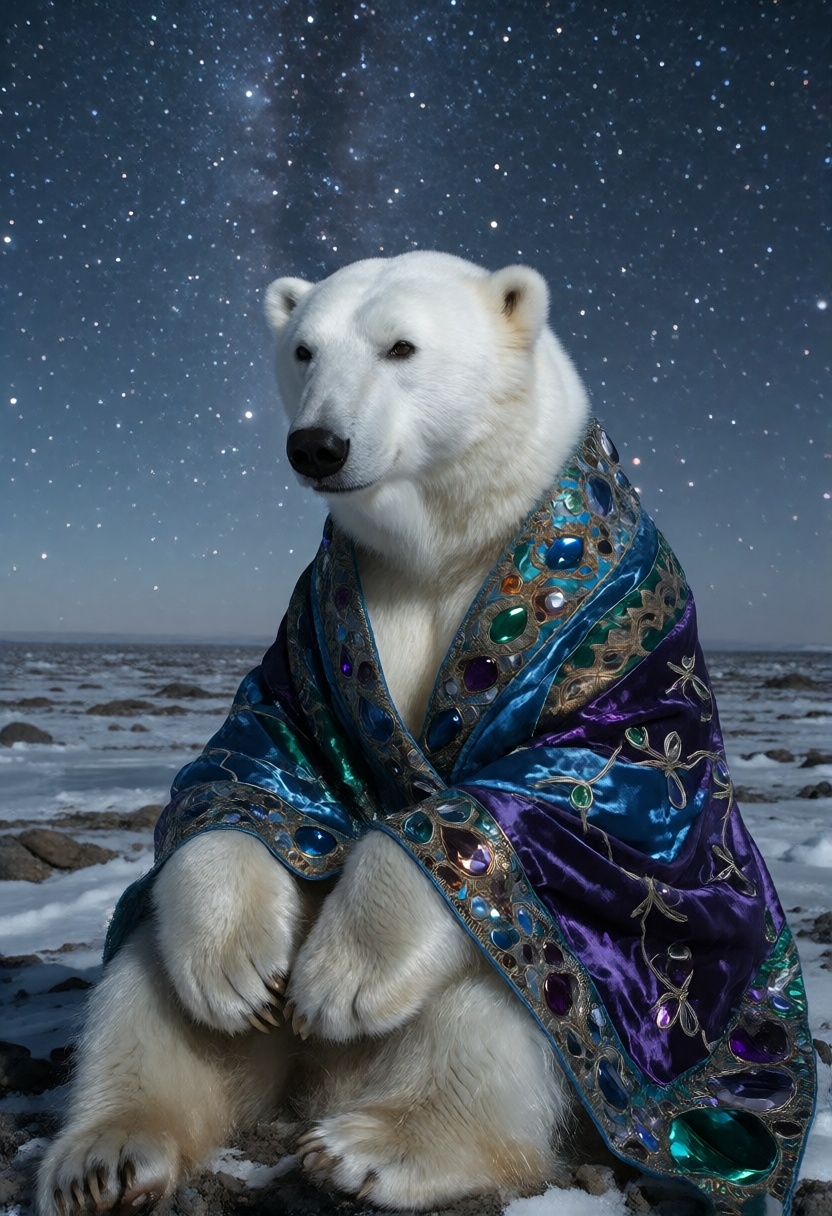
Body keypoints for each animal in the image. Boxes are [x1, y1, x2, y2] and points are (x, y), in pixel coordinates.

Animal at [37, 252, 814, 1216]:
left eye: (401, 346)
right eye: (303, 349)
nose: (318, 444)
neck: (449, 542)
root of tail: (318, 1081)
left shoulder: (622, 641)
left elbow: (558, 796)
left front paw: (339, 981)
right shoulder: (313, 632)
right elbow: (256, 764)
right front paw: (237, 970)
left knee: (512, 982)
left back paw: (376, 1147)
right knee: (144, 978)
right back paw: (109, 1154)